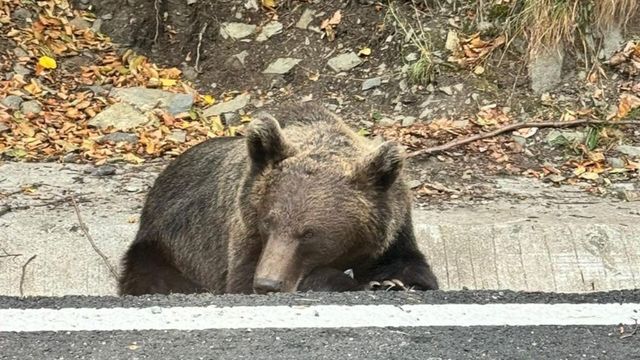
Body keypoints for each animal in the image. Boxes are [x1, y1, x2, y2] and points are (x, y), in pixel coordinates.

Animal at [119, 101, 440, 296]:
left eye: (310, 234)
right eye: (267, 223)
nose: (267, 283)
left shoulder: (393, 228)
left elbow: (414, 269)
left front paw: (392, 281)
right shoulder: (243, 228)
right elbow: (240, 278)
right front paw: (362, 283)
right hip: (165, 247)